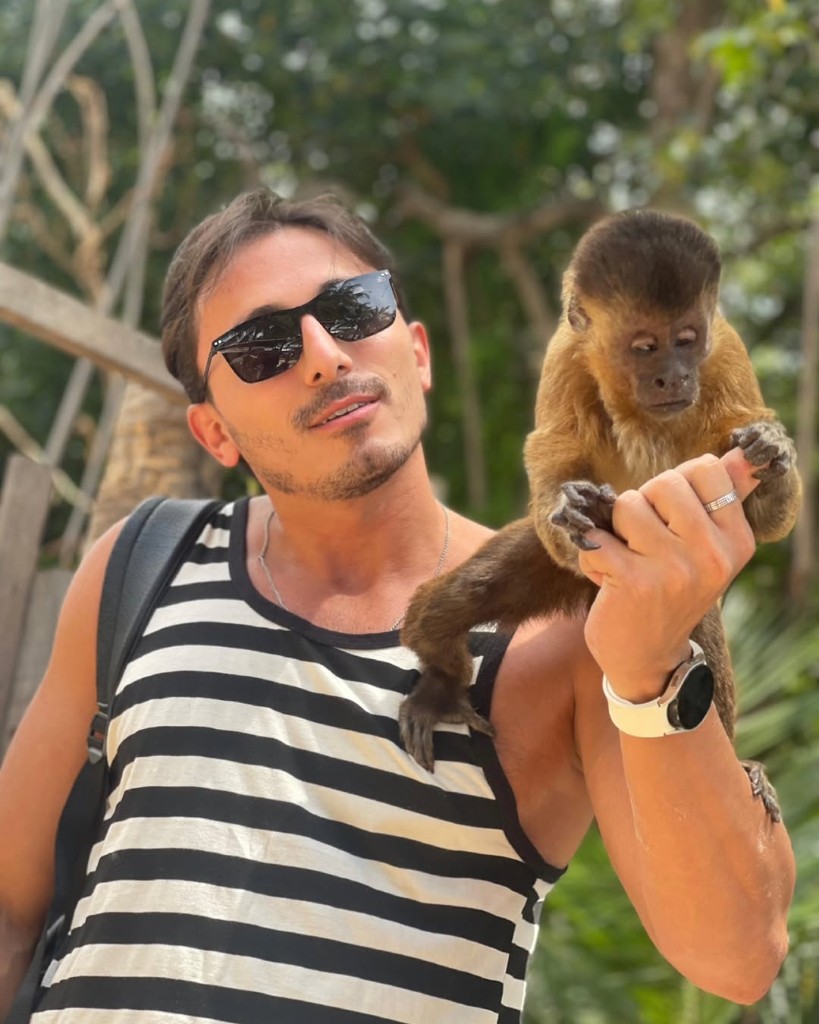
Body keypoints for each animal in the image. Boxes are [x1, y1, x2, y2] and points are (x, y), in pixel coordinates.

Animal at [399, 209, 802, 824]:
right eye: (646, 347)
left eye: (687, 342)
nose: (674, 377)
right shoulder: (565, 351)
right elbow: (553, 463)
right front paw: (572, 504)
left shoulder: (726, 350)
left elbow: (766, 518)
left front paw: (771, 456)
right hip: (562, 568)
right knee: (453, 603)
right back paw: (442, 684)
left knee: (698, 633)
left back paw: (740, 765)